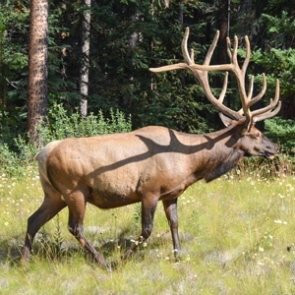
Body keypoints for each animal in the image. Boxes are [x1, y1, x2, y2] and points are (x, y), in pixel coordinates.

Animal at [21, 27, 282, 268]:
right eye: (256, 133)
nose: (275, 148)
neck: (190, 164)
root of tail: (43, 154)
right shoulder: (149, 190)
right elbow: (147, 230)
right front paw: (122, 260)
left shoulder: (171, 193)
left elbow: (174, 223)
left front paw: (178, 257)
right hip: (74, 190)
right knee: (75, 227)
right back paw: (103, 262)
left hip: (54, 193)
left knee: (33, 219)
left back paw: (24, 260)